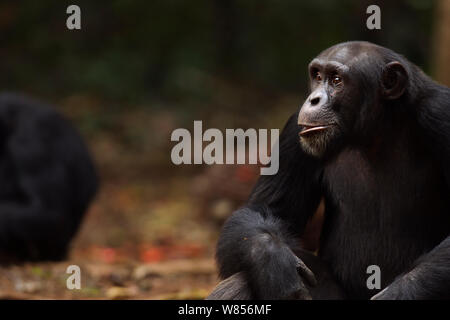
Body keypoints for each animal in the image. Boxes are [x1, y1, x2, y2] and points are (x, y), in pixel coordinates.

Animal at [210, 41, 450, 298]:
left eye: (336, 80)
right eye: (317, 76)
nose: (313, 99)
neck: (376, 131)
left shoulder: (441, 114)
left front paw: (398, 293)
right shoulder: (295, 131)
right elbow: (267, 210)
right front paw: (273, 262)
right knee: (243, 279)